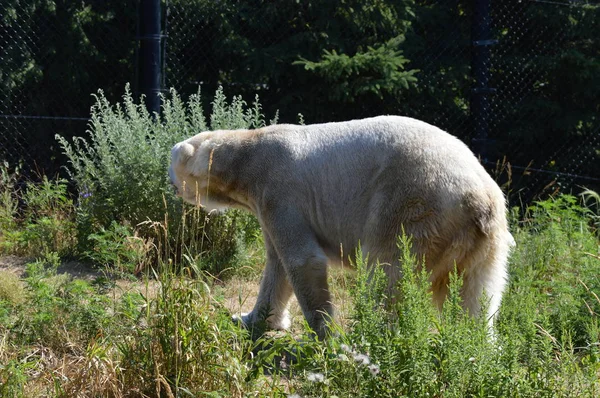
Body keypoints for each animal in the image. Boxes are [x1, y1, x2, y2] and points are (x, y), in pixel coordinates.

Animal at [168, 115, 510, 338]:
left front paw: (325, 333)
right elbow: (277, 266)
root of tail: (480, 199)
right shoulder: (266, 203)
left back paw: (370, 332)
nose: (170, 184)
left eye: (172, 163)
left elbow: (302, 260)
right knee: (477, 294)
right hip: (482, 241)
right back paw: (474, 344)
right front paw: (250, 318)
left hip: (414, 206)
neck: (248, 155)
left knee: (388, 272)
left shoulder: (279, 189)